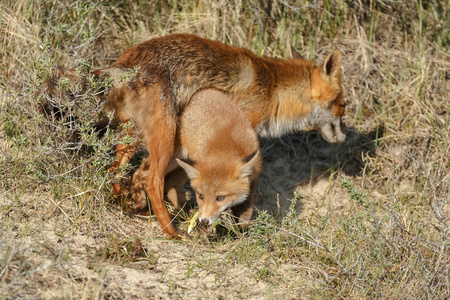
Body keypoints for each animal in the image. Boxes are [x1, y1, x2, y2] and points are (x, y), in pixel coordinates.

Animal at [46, 33, 344, 239]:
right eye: (342, 104)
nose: (343, 136)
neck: (272, 89)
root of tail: (125, 61)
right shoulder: (237, 137)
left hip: (136, 136)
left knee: (115, 169)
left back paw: (125, 204)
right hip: (166, 137)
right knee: (152, 181)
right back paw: (170, 231)